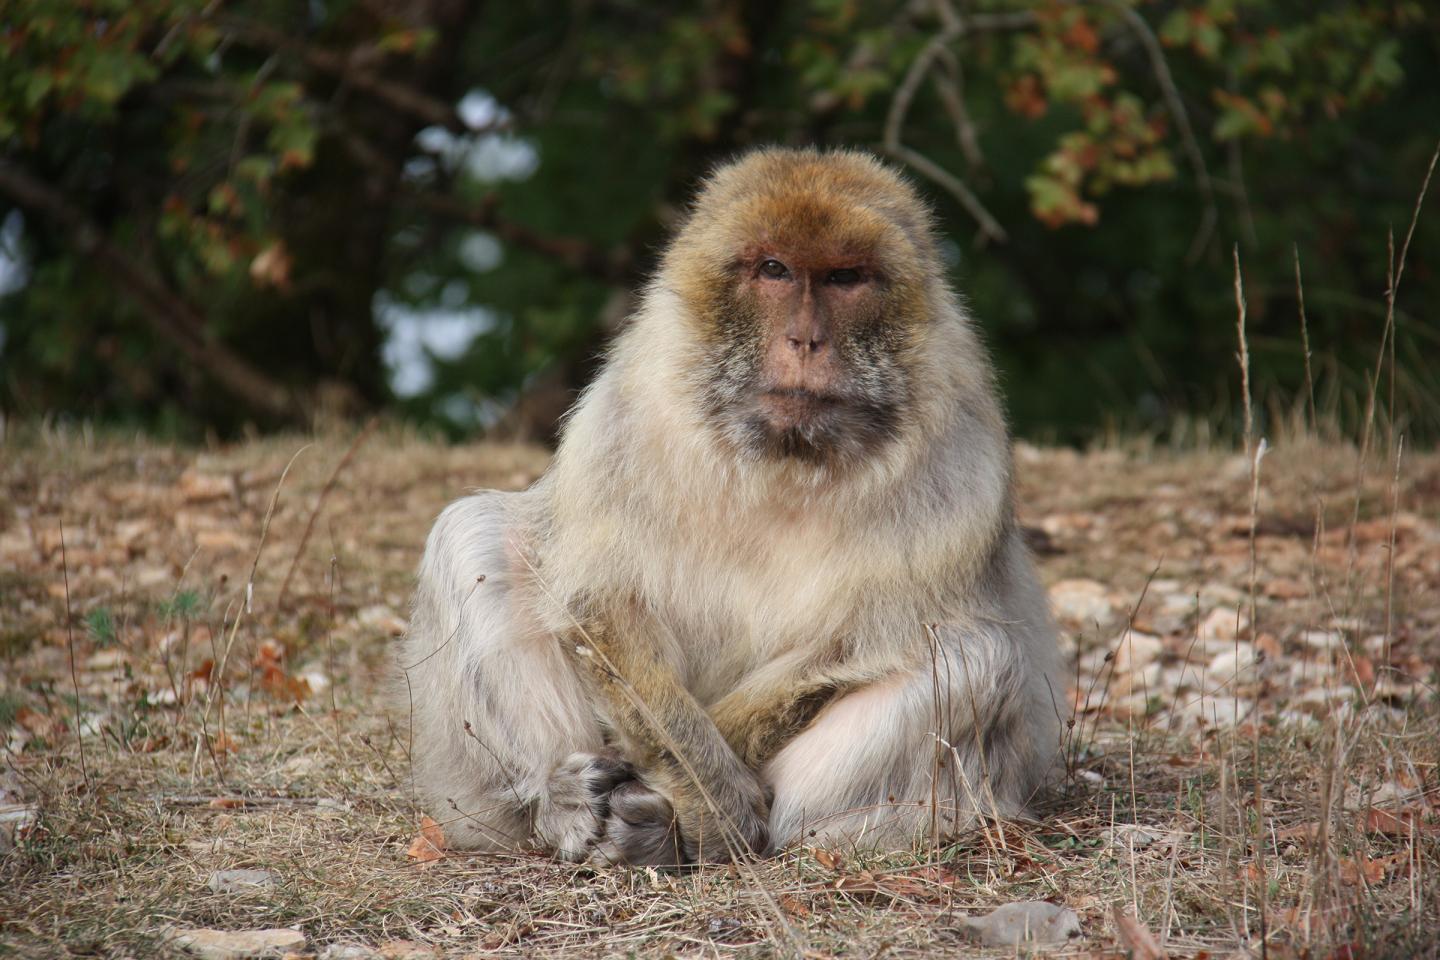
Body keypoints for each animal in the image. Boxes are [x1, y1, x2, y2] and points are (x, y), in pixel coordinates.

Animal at [398, 147, 1063, 865]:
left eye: (845, 278)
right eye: (774, 270)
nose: (805, 341)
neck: (784, 457)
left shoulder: (960, 456)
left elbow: (864, 642)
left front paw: (710, 801)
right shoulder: (629, 410)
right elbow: (600, 602)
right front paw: (711, 791)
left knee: (975, 655)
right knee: (471, 535)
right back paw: (564, 806)